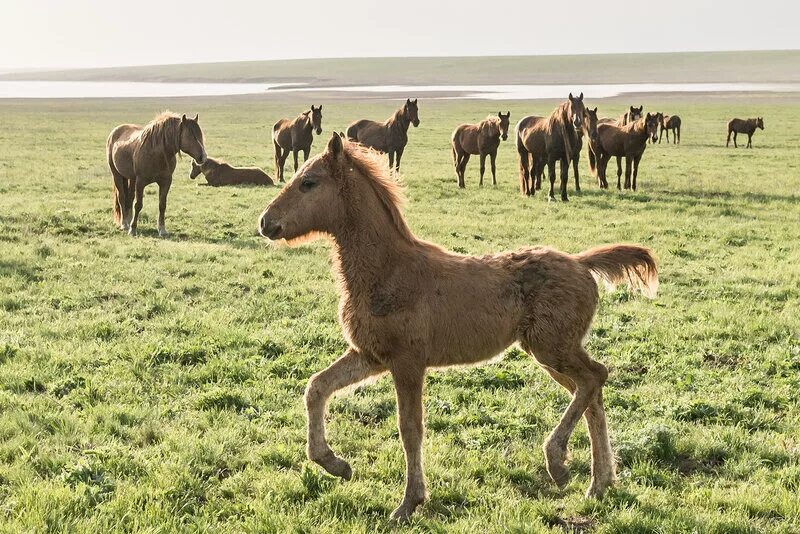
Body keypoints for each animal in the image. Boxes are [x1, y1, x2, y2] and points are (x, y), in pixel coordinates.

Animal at [256, 133, 656, 524]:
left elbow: (410, 429)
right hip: (549, 352)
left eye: (308, 182)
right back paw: (599, 483)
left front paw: (408, 504)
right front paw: (335, 464)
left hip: (553, 348)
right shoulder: (370, 355)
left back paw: (558, 462)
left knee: (594, 378)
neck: (389, 271)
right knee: (591, 393)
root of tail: (580, 262)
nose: (265, 222)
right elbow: (316, 387)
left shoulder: (407, 363)